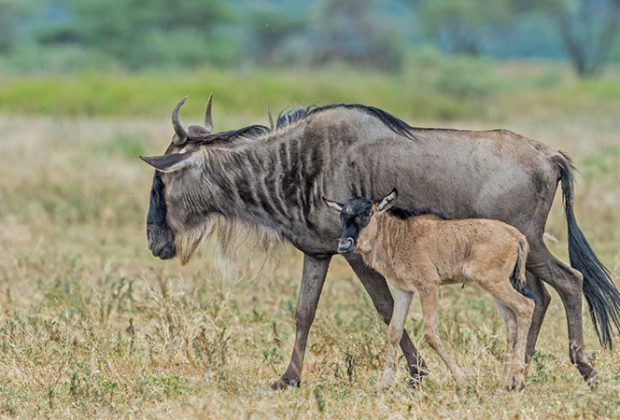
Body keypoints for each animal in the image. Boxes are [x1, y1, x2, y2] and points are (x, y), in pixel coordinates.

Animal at [326, 190, 536, 390]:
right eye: (342, 215)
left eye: (367, 213)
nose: (343, 244)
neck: (399, 237)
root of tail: (516, 235)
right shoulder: (404, 291)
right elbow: (394, 331)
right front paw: (384, 383)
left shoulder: (428, 287)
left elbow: (430, 333)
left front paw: (462, 380)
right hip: (494, 288)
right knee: (511, 323)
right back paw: (505, 384)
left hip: (495, 283)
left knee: (526, 306)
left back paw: (519, 380)